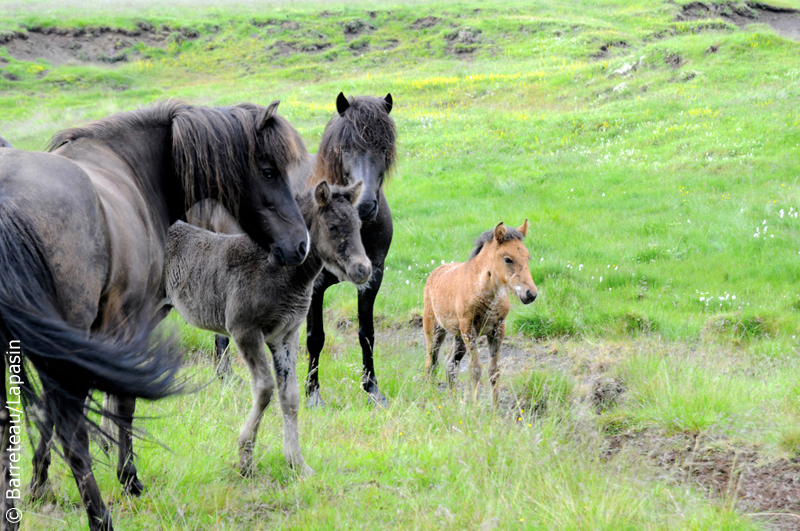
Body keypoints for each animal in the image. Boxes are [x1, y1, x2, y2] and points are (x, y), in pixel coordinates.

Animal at [0, 101, 308, 531]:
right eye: (268, 170)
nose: (300, 245)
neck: (128, 167)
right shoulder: (128, 325)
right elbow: (122, 404)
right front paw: (128, 477)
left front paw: (38, 482)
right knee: (71, 429)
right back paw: (99, 516)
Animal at [167, 184, 374, 478]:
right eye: (333, 226)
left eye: (359, 225)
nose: (363, 269)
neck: (279, 271)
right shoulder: (244, 330)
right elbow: (264, 388)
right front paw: (245, 458)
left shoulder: (285, 335)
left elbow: (290, 396)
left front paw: (297, 463)